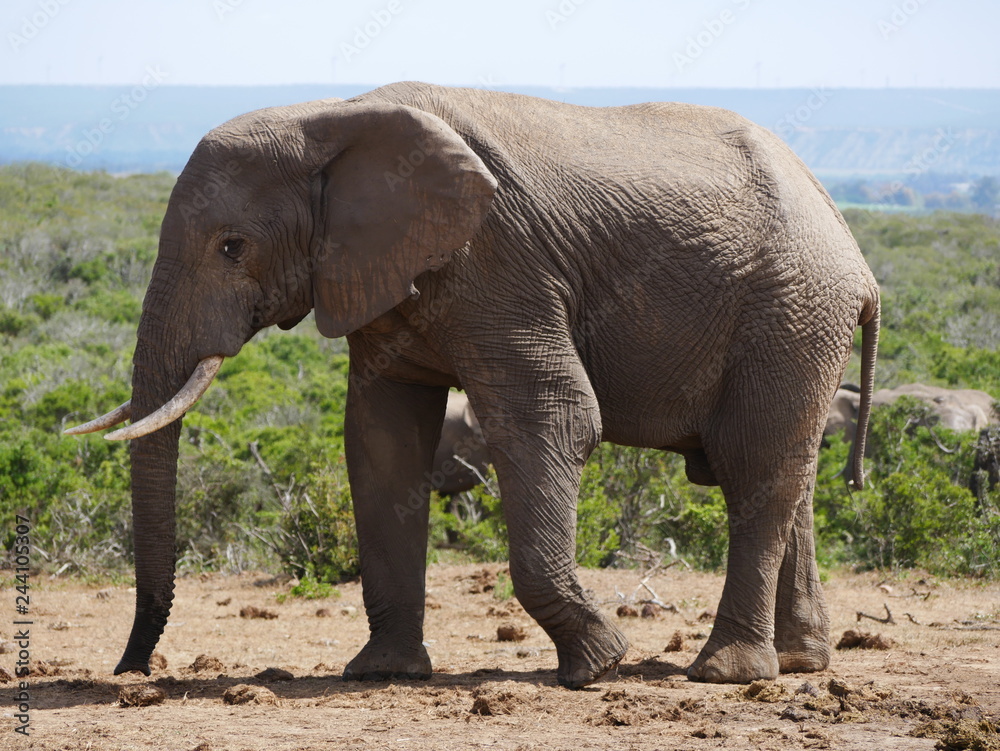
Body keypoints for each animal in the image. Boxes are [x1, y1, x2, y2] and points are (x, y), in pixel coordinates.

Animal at [67, 81, 880, 688]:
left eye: (233, 248)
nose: (134, 670)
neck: (331, 116)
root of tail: (857, 258)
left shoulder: (500, 258)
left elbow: (551, 416)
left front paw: (598, 664)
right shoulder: (380, 270)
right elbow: (380, 438)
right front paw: (384, 673)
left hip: (790, 308)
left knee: (754, 470)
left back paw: (726, 674)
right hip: (802, 321)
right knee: (789, 475)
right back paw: (800, 660)